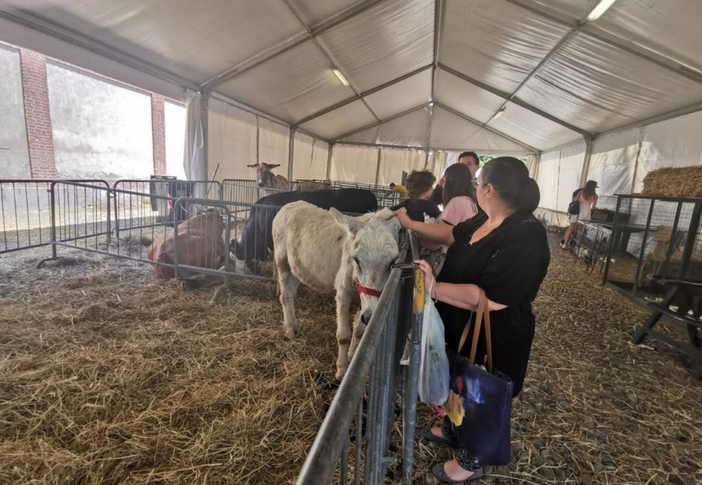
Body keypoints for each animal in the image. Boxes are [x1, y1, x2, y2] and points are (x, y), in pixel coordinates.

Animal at [272, 201, 401, 379]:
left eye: (392, 262)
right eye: (356, 259)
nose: (370, 316)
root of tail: (288, 205)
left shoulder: (363, 297)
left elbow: (359, 330)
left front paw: (353, 356)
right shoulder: (343, 291)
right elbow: (344, 335)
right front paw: (341, 370)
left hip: (297, 268)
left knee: (291, 293)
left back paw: (294, 325)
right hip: (283, 262)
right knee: (285, 296)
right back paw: (290, 331)